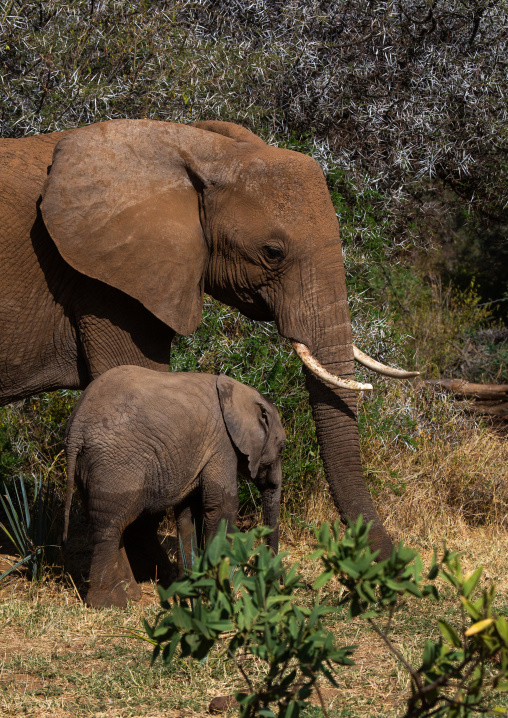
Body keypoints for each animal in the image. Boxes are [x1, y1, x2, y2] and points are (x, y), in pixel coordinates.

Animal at [63, 366, 285, 608]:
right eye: (282, 449)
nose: (276, 583)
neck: (239, 393)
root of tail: (75, 428)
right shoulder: (222, 444)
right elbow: (221, 506)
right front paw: (219, 591)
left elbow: (189, 511)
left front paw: (192, 586)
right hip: (115, 463)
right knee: (110, 525)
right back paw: (110, 603)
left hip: (88, 466)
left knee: (110, 522)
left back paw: (131, 595)